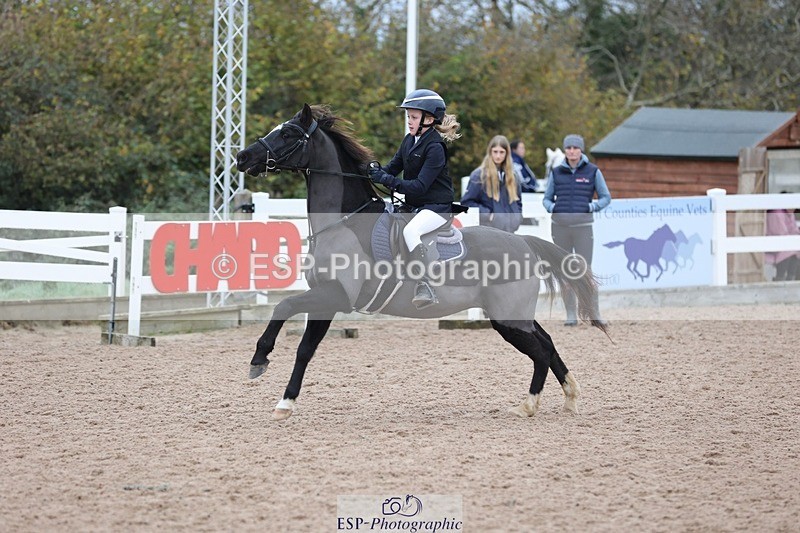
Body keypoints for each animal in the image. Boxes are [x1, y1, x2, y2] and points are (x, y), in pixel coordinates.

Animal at [235, 104, 607, 421]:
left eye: (288, 133)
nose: (242, 156)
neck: (343, 222)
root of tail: (524, 242)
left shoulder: (334, 296)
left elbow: (284, 307)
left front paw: (259, 359)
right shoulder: (325, 300)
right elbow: (305, 349)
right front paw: (284, 401)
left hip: (508, 320)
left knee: (540, 351)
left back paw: (528, 405)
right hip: (515, 317)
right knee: (548, 343)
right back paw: (570, 396)